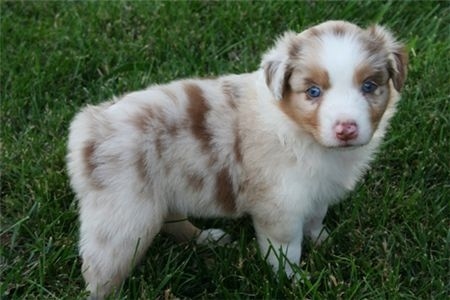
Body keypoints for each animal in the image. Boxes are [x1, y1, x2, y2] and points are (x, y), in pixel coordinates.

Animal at [67, 20, 408, 298]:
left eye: (369, 86)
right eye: (313, 91)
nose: (346, 128)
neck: (300, 131)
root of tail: (91, 124)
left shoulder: (316, 189)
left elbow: (315, 216)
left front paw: (322, 239)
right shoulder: (280, 207)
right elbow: (285, 249)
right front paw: (294, 281)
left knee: (171, 218)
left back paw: (206, 238)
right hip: (123, 217)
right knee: (102, 270)